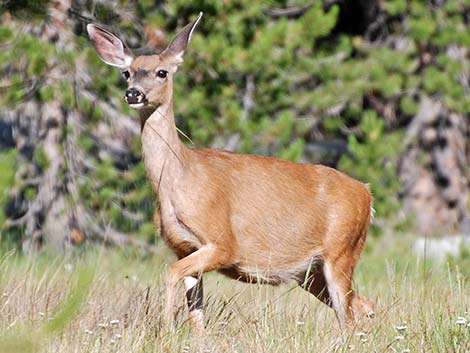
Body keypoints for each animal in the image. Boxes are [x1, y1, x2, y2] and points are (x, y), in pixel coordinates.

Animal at [87, 12, 374, 332]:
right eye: (127, 73)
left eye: (162, 72)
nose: (133, 93)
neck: (179, 180)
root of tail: (366, 193)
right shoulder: (184, 248)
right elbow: (196, 308)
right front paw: (193, 335)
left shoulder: (223, 242)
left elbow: (170, 273)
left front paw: (166, 328)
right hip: (310, 272)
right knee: (364, 306)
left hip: (342, 250)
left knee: (349, 314)